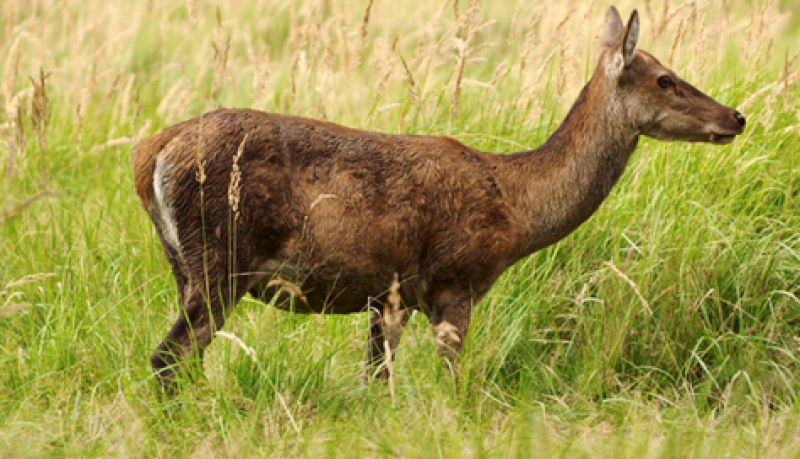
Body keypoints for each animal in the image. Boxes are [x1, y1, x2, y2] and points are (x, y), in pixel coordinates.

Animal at [134, 6, 748, 392]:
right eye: (666, 79)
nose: (737, 116)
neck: (518, 207)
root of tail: (150, 155)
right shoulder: (456, 280)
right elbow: (454, 383)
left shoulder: (389, 296)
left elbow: (373, 384)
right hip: (219, 260)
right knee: (167, 358)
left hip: (184, 264)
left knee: (182, 360)